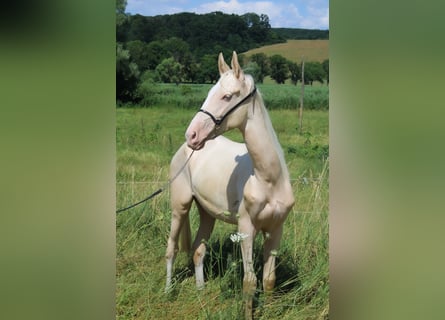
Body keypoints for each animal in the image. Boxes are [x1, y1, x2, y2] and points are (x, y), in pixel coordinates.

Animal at [165, 52, 294, 318]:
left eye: (227, 96)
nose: (192, 135)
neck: (269, 180)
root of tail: (183, 151)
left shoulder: (276, 229)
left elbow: (269, 279)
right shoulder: (246, 229)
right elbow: (249, 282)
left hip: (207, 213)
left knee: (198, 250)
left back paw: (201, 292)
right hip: (179, 207)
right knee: (171, 248)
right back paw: (168, 291)